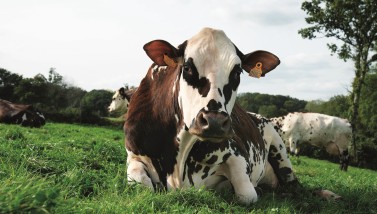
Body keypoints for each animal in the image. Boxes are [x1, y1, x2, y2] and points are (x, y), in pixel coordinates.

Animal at [125, 27, 296, 205]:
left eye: (237, 72)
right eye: (187, 67)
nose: (214, 121)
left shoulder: (236, 153)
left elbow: (247, 194)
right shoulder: (134, 154)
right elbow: (142, 183)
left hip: (281, 150)